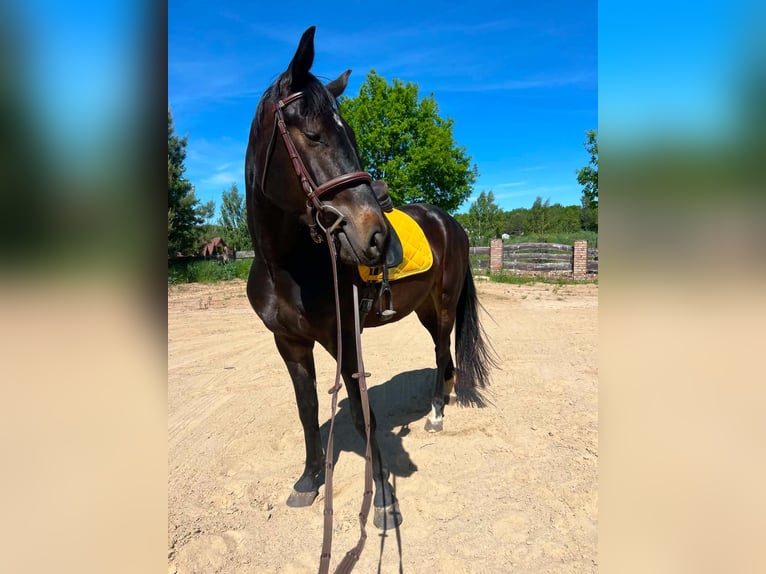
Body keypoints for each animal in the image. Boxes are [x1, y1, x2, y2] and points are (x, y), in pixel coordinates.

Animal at [244, 26, 496, 531]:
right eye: (313, 135)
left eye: (353, 136)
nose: (376, 237)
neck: (285, 267)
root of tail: (452, 224)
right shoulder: (289, 343)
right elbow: (307, 411)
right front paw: (308, 481)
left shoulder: (343, 338)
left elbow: (364, 419)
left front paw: (382, 499)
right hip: (422, 308)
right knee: (442, 359)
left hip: (443, 305)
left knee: (443, 351)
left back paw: (436, 414)